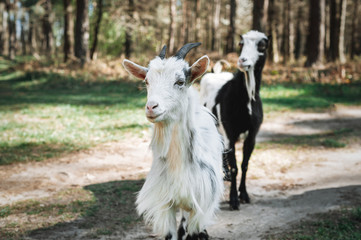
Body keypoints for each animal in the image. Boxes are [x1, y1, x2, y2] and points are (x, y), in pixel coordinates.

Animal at [122, 43, 222, 240]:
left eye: (180, 81)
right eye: (147, 81)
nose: (151, 107)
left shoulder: (200, 204)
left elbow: (195, 231)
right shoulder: (164, 204)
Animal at [200, 30, 268, 210]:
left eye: (262, 45)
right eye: (240, 43)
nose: (242, 61)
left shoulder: (252, 134)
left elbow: (245, 165)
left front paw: (244, 194)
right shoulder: (230, 132)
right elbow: (235, 167)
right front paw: (233, 200)